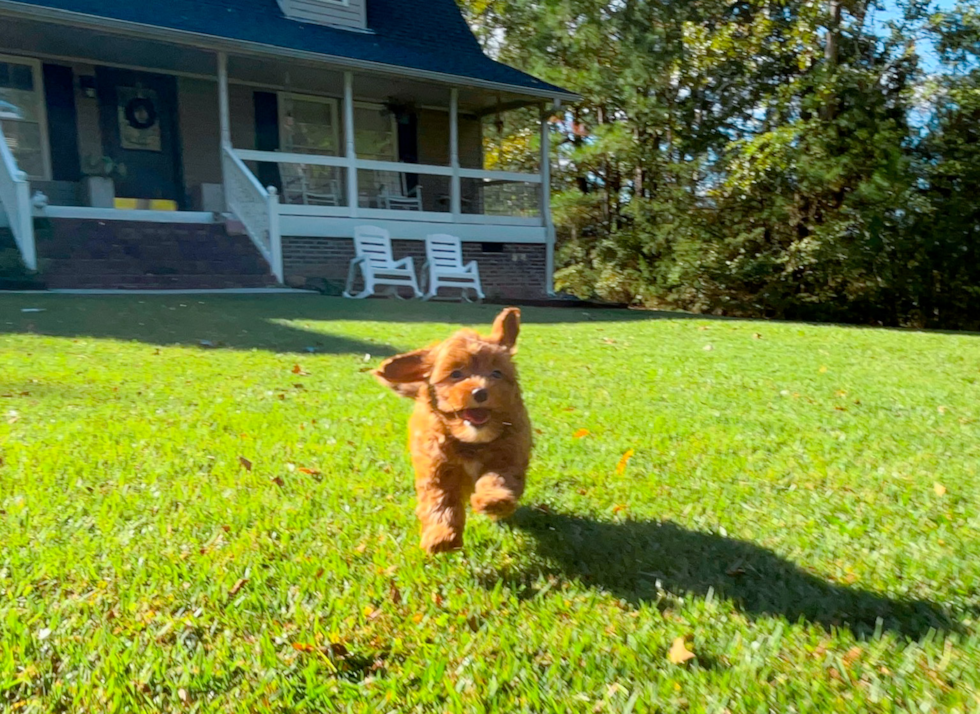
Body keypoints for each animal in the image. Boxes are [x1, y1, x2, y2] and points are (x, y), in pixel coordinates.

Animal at [376, 306, 532, 552]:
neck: (471, 440)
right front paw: (441, 536)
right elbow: (440, 500)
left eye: (496, 373)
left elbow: (499, 477)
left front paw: (493, 500)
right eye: (456, 374)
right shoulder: (437, 468)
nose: (480, 392)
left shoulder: (510, 453)